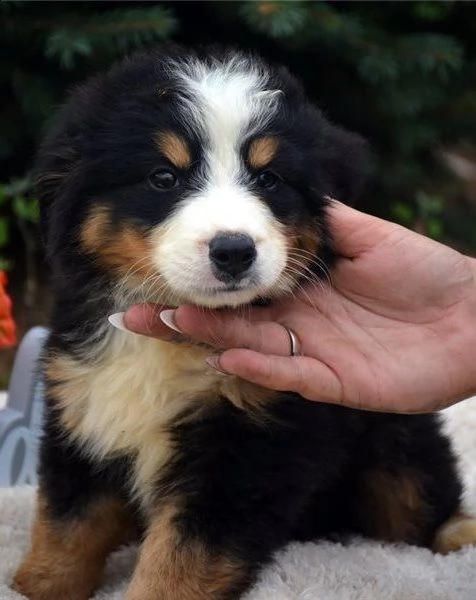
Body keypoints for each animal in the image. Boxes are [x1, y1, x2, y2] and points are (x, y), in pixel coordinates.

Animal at [11, 47, 476, 600]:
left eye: (269, 178)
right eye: (163, 177)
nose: (233, 251)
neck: (176, 338)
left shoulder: (251, 449)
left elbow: (181, 558)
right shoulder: (83, 409)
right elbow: (66, 525)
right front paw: (34, 586)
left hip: (395, 443)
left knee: (423, 505)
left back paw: (461, 535)